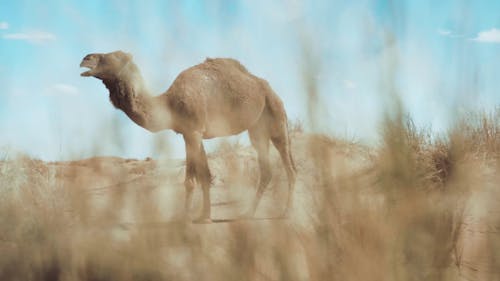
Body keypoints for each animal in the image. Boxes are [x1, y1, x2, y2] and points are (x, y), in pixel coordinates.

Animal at [79, 49, 294, 221]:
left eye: (113, 56)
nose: (85, 59)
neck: (168, 104)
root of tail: (269, 88)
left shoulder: (193, 132)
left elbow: (190, 180)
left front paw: (184, 218)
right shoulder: (189, 133)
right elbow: (204, 175)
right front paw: (204, 216)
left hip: (275, 115)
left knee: (288, 164)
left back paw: (285, 213)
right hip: (257, 129)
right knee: (266, 169)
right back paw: (247, 213)